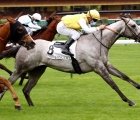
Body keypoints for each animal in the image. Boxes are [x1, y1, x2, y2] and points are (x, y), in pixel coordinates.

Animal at [0, 16, 140, 106]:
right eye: (133, 25)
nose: (139, 36)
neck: (96, 43)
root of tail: (23, 45)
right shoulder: (98, 67)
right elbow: (113, 84)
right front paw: (129, 101)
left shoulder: (106, 64)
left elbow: (124, 76)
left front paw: (138, 87)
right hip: (20, 69)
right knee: (7, 84)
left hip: (37, 70)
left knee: (26, 89)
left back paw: (32, 106)